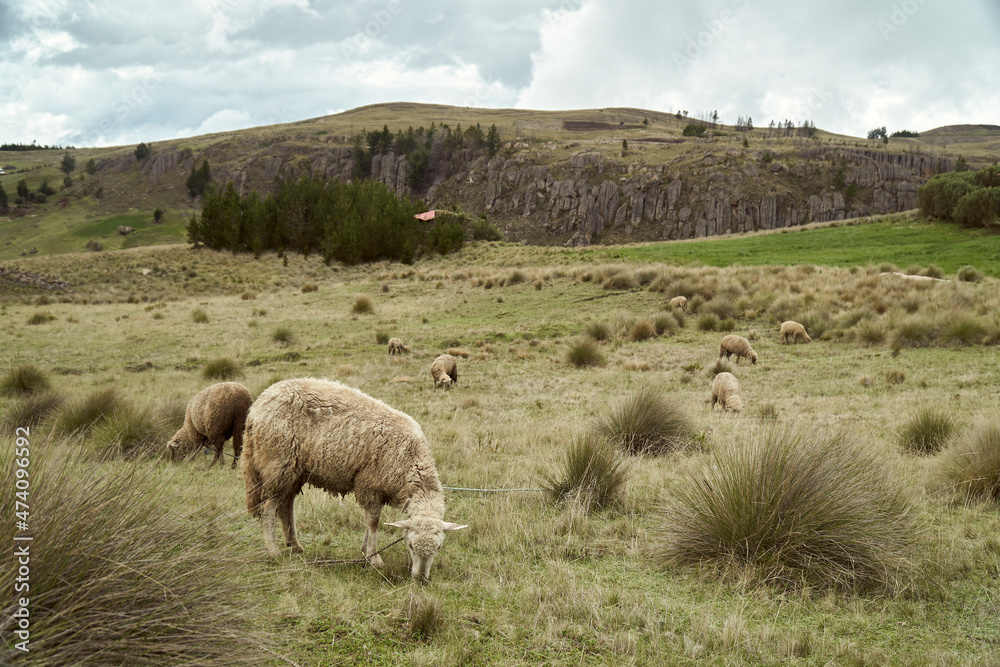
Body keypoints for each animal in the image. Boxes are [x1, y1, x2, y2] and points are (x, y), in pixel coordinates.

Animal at [241, 378, 467, 580]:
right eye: (410, 545)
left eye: (439, 547)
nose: (420, 579)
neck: (410, 461)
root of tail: (257, 406)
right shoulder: (370, 484)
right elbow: (373, 522)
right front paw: (374, 559)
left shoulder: (376, 489)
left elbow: (370, 522)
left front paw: (365, 551)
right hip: (277, 463)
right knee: (268, 508)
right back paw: (273, 551)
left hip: (295, 470)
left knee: (286, 505)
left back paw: (294, 545)